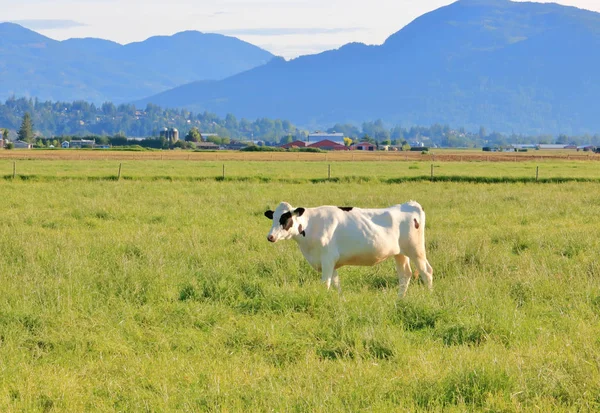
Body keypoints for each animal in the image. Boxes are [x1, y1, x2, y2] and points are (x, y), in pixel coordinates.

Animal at [264, 200, 434, 294]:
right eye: (273, 218)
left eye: (285, 218)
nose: (270, 237)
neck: (312, 224)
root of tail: (410, 204)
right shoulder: (330, 263)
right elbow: (336, 283)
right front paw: (341, 301)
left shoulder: (327, 259)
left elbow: (326, 283)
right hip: (400, 253)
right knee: (405, 275)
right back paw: (399, 301)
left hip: (416, 250)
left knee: (426, 272)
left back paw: (429, 296)